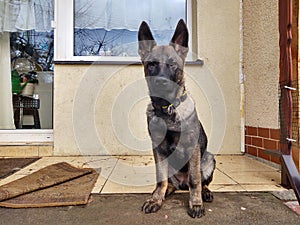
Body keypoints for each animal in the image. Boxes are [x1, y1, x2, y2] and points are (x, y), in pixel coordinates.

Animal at [138, 19, 216, 218]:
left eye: (173, 64)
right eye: (152, 64)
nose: (161, 82)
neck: (168, 110)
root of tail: (182, 184)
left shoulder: (193, 149)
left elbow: (195, 179)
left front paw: (195, 204)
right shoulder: (158, 149)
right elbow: (160, 179)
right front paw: (156, 199)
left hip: (208, 159)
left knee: (200, 182)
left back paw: (205, 193)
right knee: (168, 183)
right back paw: (164, 192)